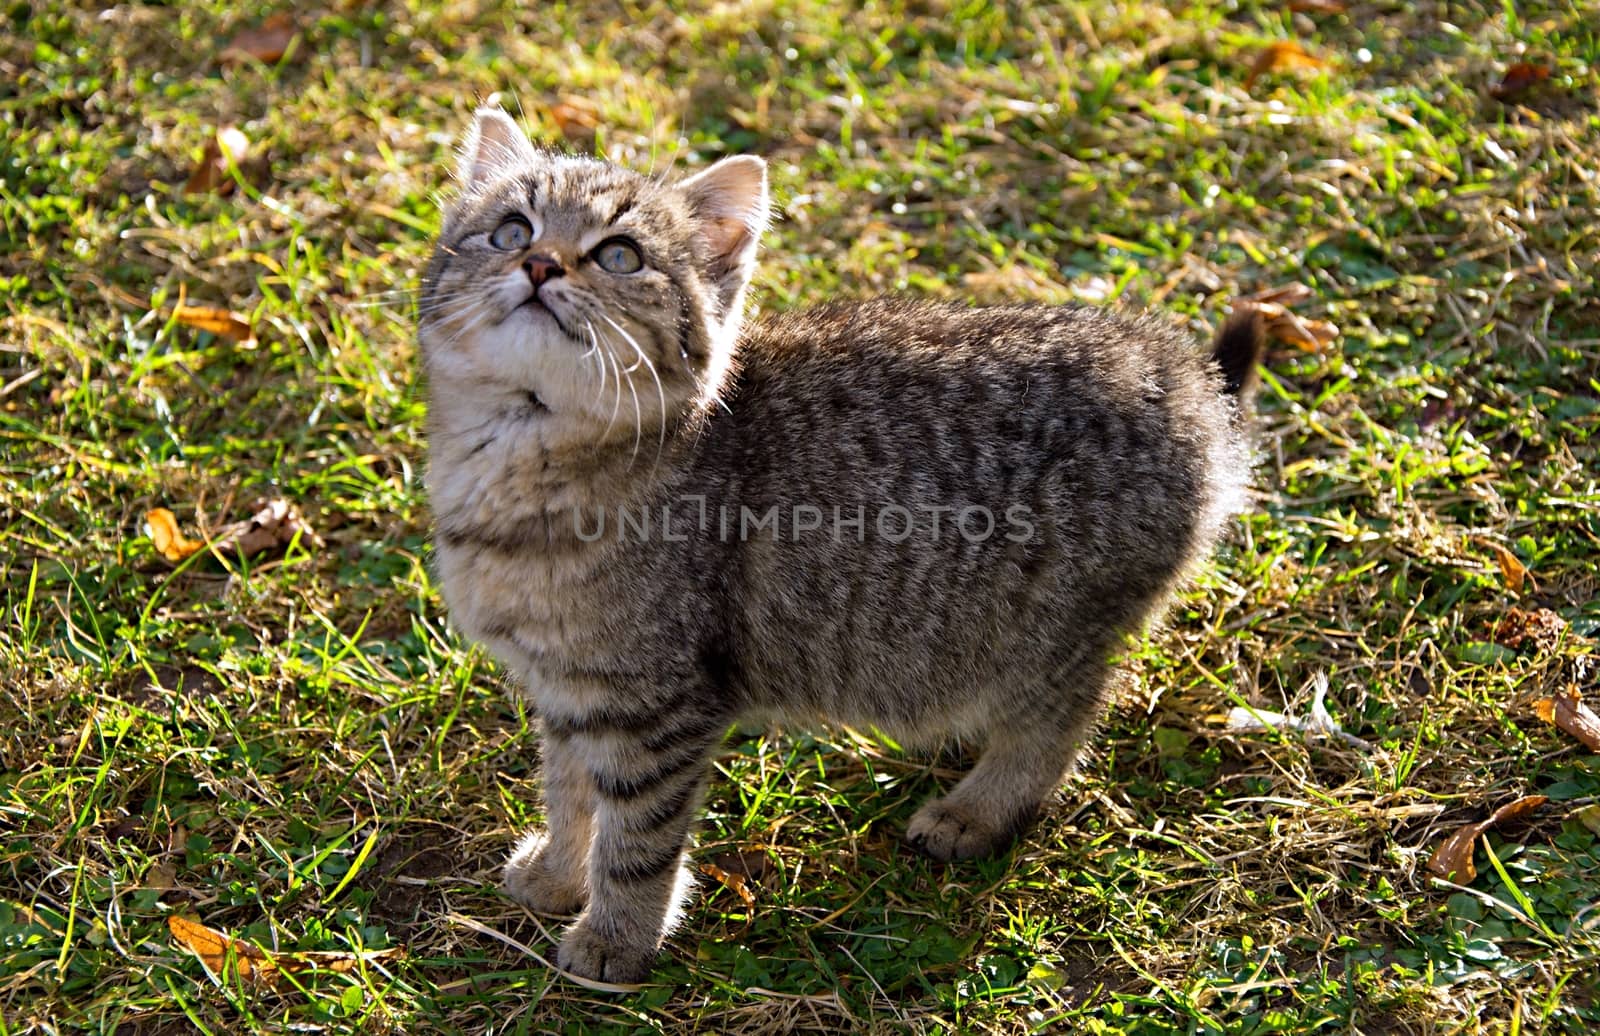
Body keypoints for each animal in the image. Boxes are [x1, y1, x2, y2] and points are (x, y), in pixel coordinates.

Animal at [419, 109, 1267, 984]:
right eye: (511, 230)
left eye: (620, 254)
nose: (540, 262)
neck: (523, 465)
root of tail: (1187, 381)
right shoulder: (569, 688)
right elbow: (569, 790)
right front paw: (559, 873)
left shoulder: (657, 702)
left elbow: (638, 836)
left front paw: (617, 937)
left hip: (1050, 634)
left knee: (1056, 727)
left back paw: (976, 810)